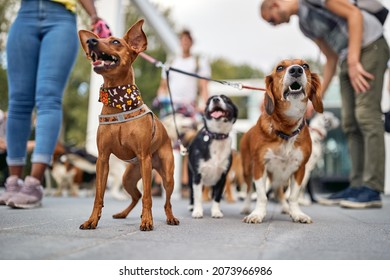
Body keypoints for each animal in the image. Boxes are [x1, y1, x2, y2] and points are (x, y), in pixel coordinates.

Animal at [78, 19, 181, 230]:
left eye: (116, 42)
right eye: (98, 38)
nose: (91, 41)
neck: (119, 103)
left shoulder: (143, 157)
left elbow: (149, 198)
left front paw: (147, 221)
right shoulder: (103, 159)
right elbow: (98, 195)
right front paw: (92, 220)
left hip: (166, 175)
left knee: (165, 201)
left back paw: (170, 217)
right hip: (128, 178)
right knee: (137, 195)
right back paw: (123, 213)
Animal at [241, 58, 322, 223]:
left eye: (305, 66)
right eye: (279, 68)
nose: (296, 70)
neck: (286, 130)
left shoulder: (300, 169)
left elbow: (293, 196)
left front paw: (296, 213)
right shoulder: (259, 167)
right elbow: (261, 196)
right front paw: (257, 214)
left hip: (281, 177)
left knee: (279, 192)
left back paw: (285, 208)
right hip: (247, 171)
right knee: (248, 190)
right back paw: (246, 207)